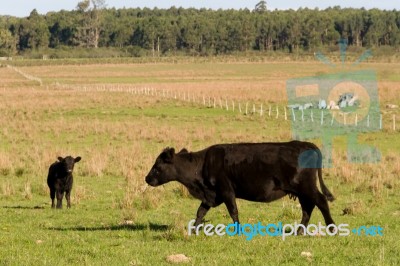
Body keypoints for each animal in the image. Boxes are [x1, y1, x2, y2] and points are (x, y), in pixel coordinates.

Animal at [145, 141, 336, 231]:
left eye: (157, 166)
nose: (147, 179)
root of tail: (305, 144)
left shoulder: (226, 191)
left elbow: (233, 211)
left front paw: (238, 231)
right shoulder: (212, 195)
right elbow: (200, 212)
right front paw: (194, 230)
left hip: (306, 187)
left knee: (321, 201)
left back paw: (332, 228)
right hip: (301, 191)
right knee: (308, 208)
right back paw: (299, 231)